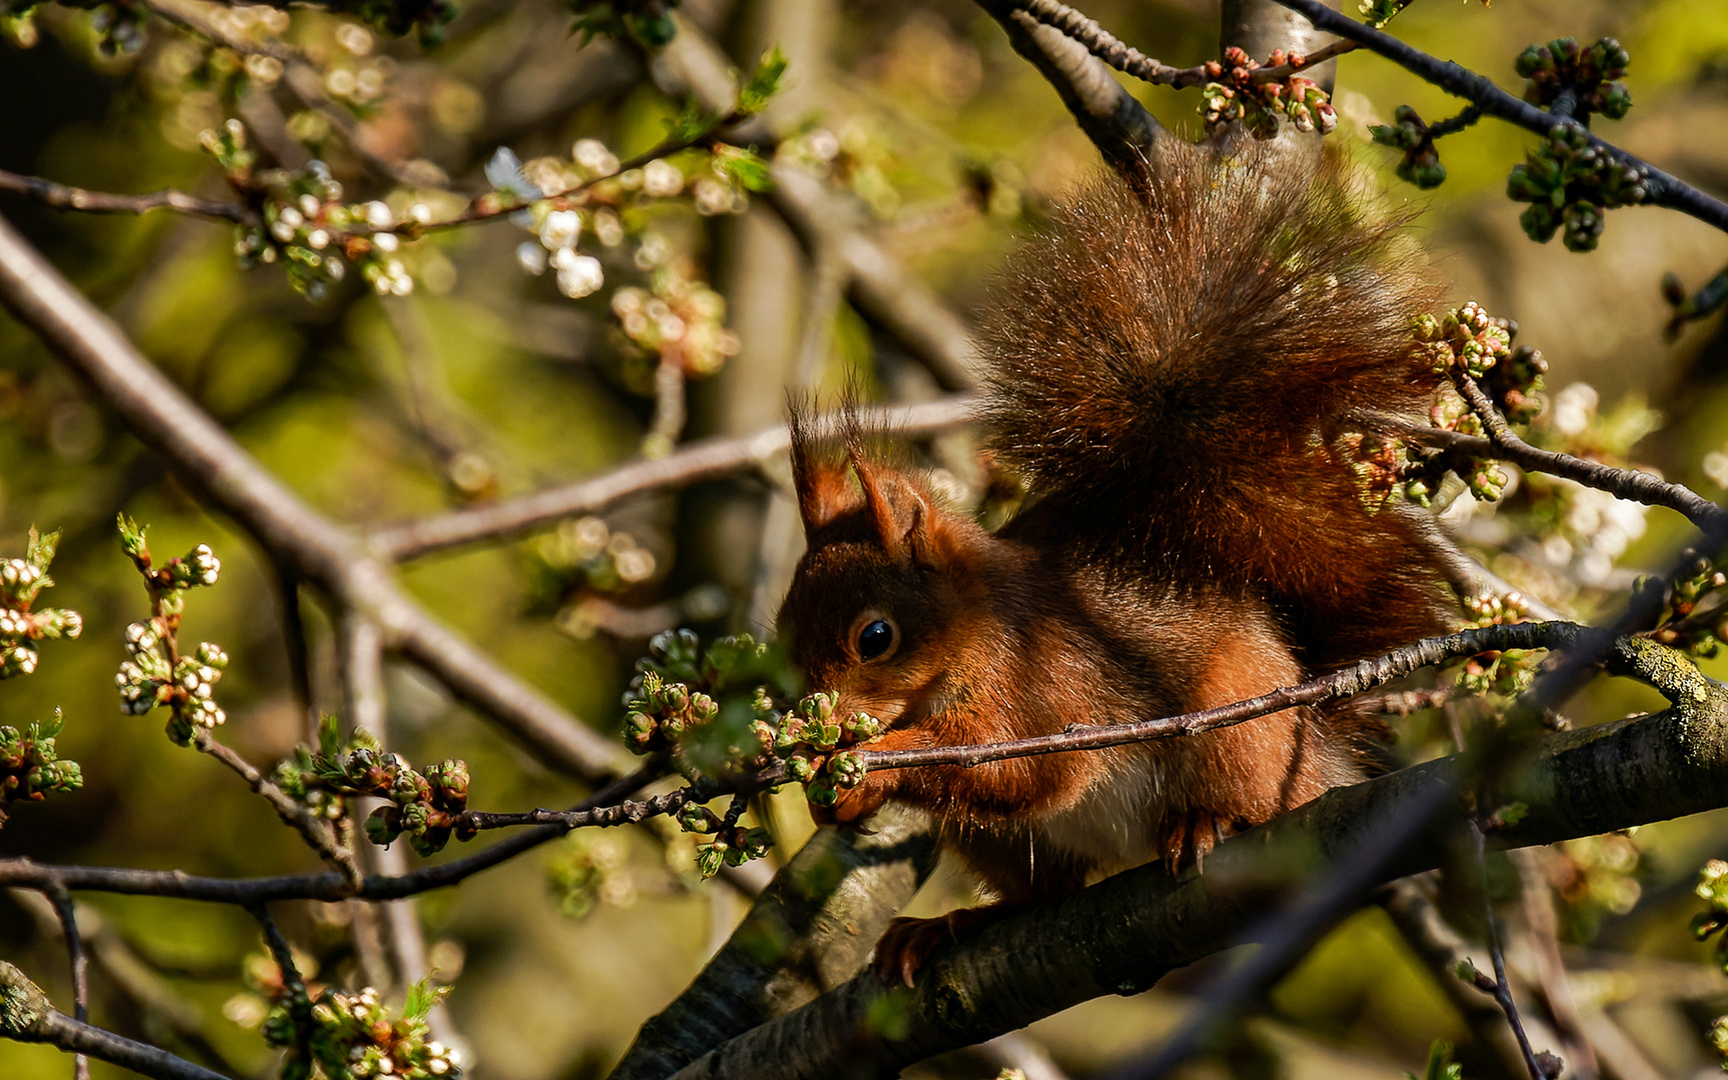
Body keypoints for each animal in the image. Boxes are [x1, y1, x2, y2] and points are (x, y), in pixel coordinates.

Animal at [777, 139, 1451, 981]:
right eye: (782, 631)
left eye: (875, 638)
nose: (823, 724)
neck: (969, 639)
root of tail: (1322, 746)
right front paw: (837, 797)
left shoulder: (1044, 691)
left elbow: (1021, 770)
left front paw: (871, 762)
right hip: (997, 842)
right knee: (1040, 892)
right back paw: (946, 926)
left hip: (1241, 731)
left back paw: (1207, 826)